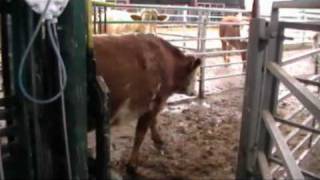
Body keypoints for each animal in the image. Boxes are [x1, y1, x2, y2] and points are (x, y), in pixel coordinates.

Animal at [93, 33, 200, 173]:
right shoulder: (153, 102)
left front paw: (159, 141)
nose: (195, 91)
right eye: (195, 75)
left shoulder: (153, 103)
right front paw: (132, 164)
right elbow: (140, 133)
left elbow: (153, 122)